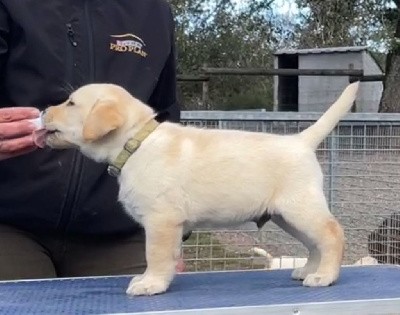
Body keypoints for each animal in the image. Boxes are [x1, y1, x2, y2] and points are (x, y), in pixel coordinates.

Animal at [43, 81, 360, 296]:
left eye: (71, 104)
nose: (44, 110)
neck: (136, 143)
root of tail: (300, 141)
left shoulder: (161, 220)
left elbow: (155, 255)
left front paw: (150, 284)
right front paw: (151, 280)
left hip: (299, 207)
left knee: (332, 234)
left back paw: (325, 276)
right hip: (286, 216)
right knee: (314, 242)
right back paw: (309, 270)